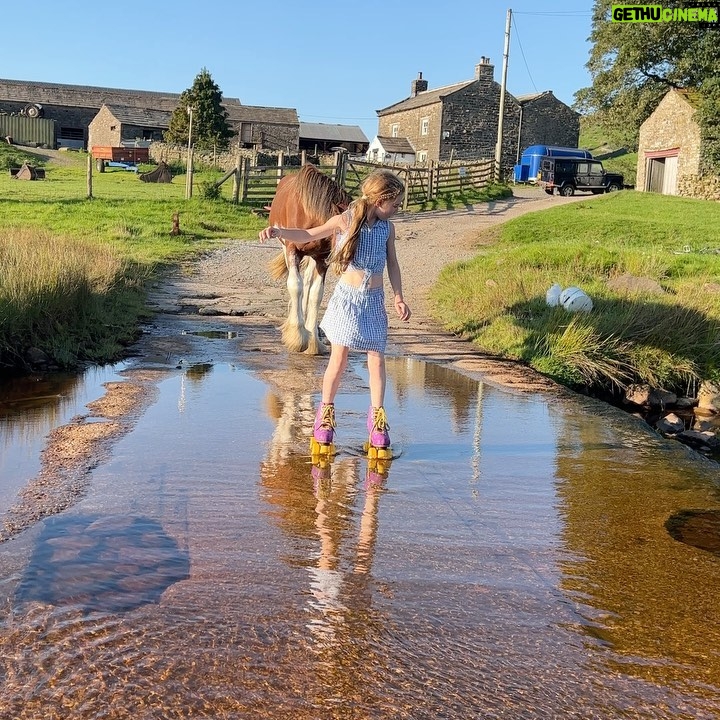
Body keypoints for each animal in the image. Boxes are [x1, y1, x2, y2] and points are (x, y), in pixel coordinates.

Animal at [268, 164, 352, 354]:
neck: (309, 214)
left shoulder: (321, 259)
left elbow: (316, 294)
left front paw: (313, 340)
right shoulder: (292, 249)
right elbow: (295, 286)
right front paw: (298, 337)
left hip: (312, 257)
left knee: (307, 282)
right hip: (285, 248)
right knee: (299, 284)